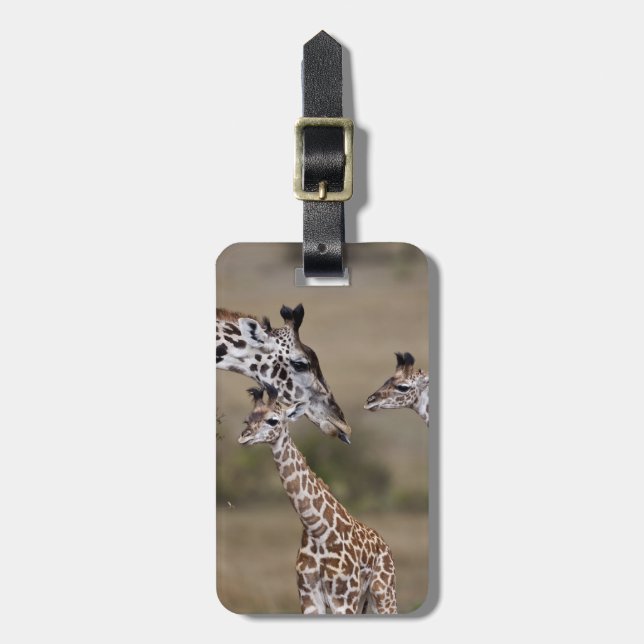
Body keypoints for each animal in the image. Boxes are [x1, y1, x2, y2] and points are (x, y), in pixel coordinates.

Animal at [238, 386, 398, 615]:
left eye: (273, 421)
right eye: (247, 420)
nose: (244, 438)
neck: (316, 528)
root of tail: (385, 546)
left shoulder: (343, 599)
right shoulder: (309, 596)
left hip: (383, 594)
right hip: (365, 601)